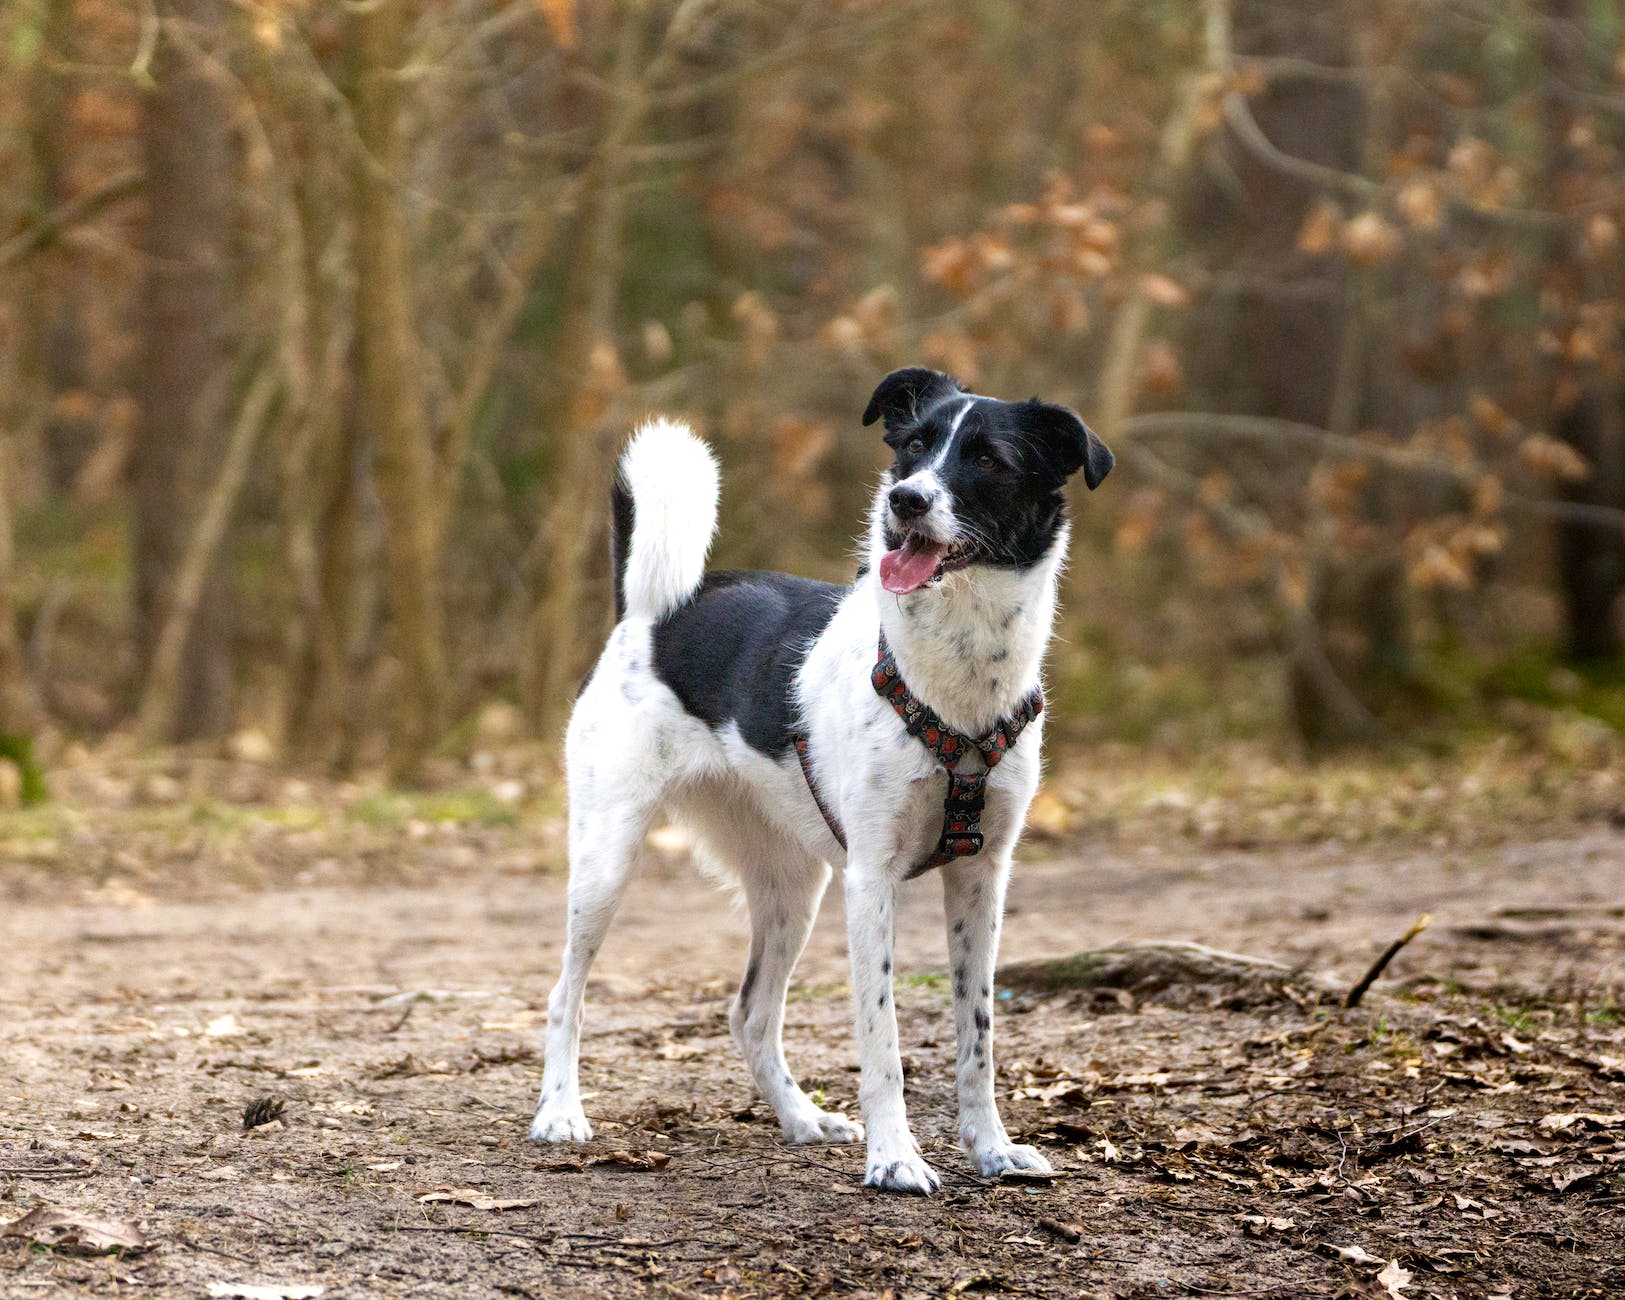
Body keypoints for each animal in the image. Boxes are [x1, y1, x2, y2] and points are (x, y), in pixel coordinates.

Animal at [526, 370, 1111, 1196]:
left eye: (987, 458)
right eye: (913, 447)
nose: (904, 500)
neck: (955, 682)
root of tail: (646, 614)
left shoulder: (982, 879)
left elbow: (978, 1040)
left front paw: (991, 1150)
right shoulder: (871, 880)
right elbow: (882, 1039)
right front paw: (895, 1158)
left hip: (792, 889)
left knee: (750, 1015)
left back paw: (801, 1117)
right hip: (607, 858)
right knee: (564, 994)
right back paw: (559, 1113)